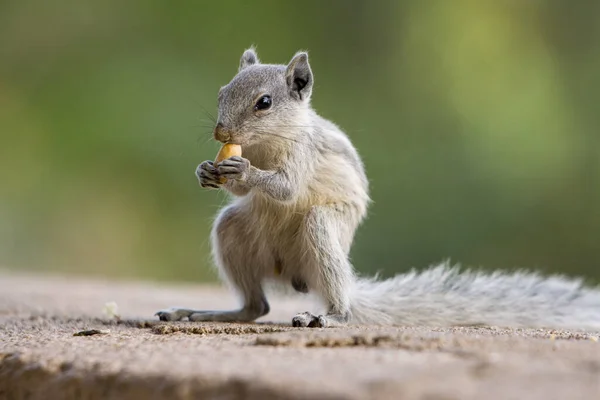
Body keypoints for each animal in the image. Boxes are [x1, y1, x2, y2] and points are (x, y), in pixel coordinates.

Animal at [156, 47, 600, 332]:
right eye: (221, 93)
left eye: (264, 102)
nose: (221, 133)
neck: (269, 143)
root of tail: (297, 277)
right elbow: (237, 193)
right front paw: (205, 170)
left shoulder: (303, 156)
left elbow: (285, 188)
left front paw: (245, 172)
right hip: (234, 232)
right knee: (255, 306)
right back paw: (207, 314)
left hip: (321, 229)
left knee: (326, 302)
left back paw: (327, 316)